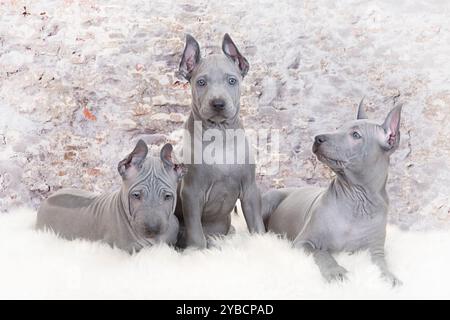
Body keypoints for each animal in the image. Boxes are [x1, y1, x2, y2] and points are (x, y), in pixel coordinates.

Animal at [262, 101, 402, 286]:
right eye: (338, 128)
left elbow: (381, 264)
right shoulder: (303, 242)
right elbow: (322, 253)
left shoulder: (376, 250)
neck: (358, 200)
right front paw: (336, 271)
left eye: (356, 135)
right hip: (268, 201)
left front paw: (389, 277)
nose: (318, 138)